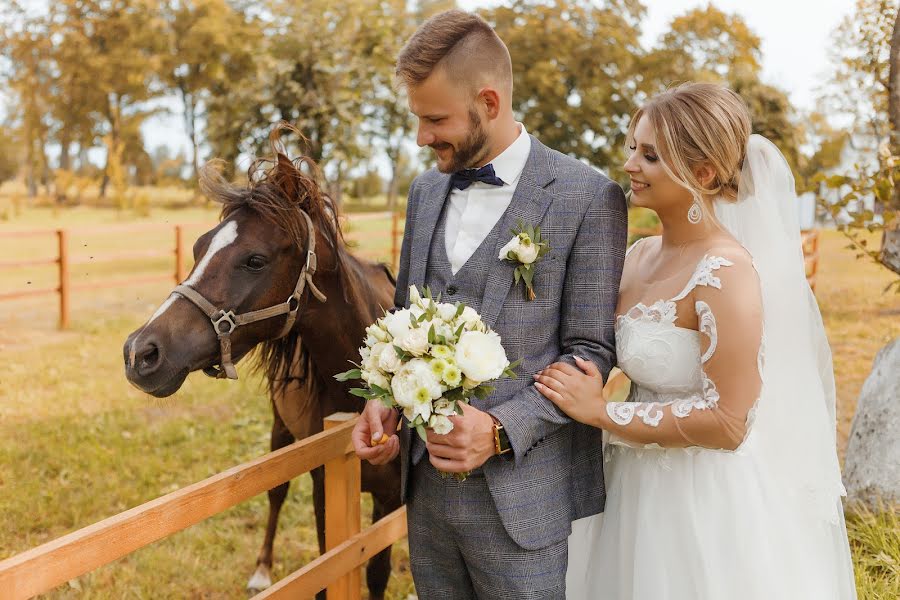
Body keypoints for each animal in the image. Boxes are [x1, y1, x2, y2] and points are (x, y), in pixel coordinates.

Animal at [123, 124, 400, 596]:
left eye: (255, 259)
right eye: (197, 248)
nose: (140, 352)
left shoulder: (392, 499)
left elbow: (377, 575)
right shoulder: (323, 485)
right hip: (279, 429)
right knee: (276, 494)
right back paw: (262, 570)